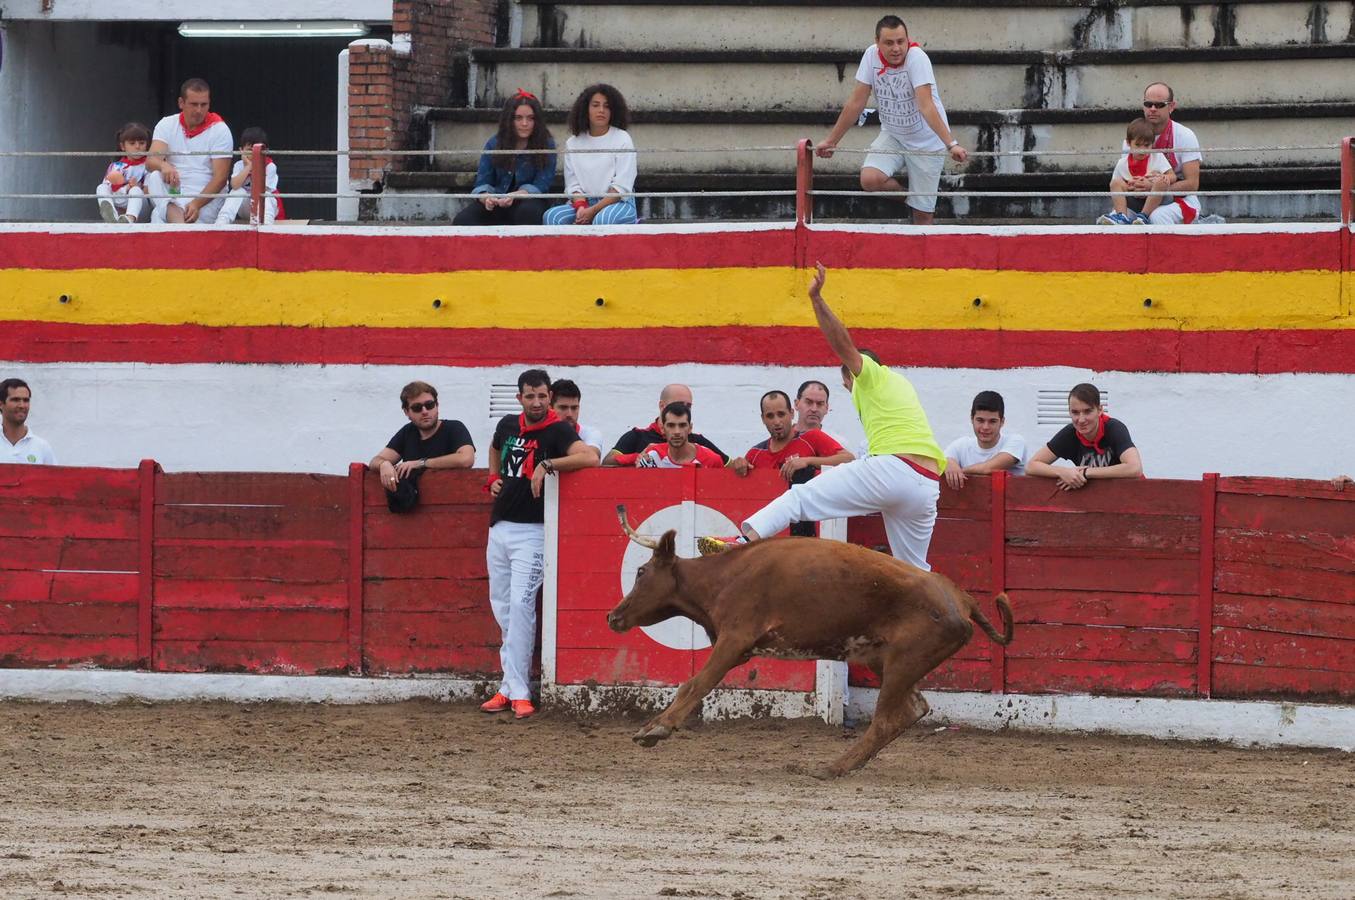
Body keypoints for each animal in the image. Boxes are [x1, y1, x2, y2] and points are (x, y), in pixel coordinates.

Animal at [609, 506, 1013, 780]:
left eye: (642, 572)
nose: (613, 616)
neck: (723, 576)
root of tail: (962, 598)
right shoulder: (736, 648)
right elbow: (695, 684)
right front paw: (654, 726)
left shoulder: (734, 639)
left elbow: (695, 683)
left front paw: (654, 729)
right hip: (885, 661)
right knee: (913, 708)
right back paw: (844, 765)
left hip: (904, 661)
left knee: (887, 720)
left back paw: (833, 768)